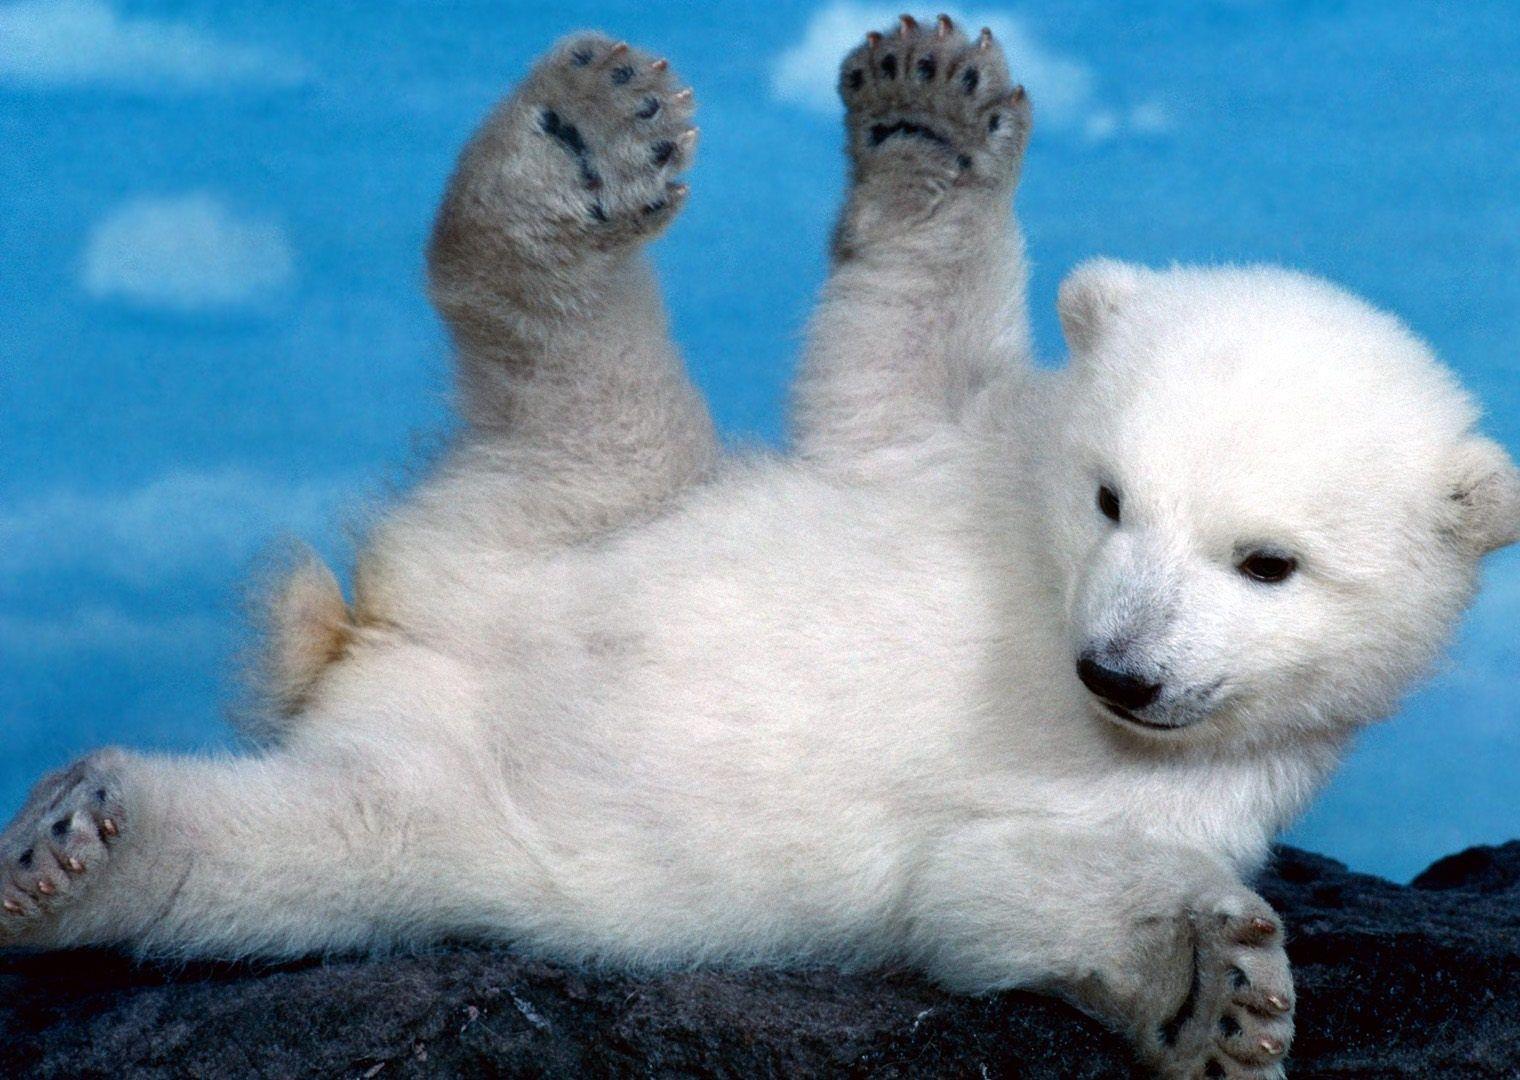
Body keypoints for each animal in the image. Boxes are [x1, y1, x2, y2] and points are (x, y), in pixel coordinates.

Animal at [3, 17, 1516, 1079]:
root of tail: (381, 633)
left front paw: (1209, 986)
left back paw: (78, 846)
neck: (1039, 611)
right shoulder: (949, 462)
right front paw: (928, 110)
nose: (1115, 671)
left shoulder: (1201, 783)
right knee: (564, 357)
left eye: (1268, 564)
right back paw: (580, 137)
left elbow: (997, 886)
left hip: (451, 801)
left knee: (282, 857)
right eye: (1108, 499)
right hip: (589, 509)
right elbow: (888, 363)